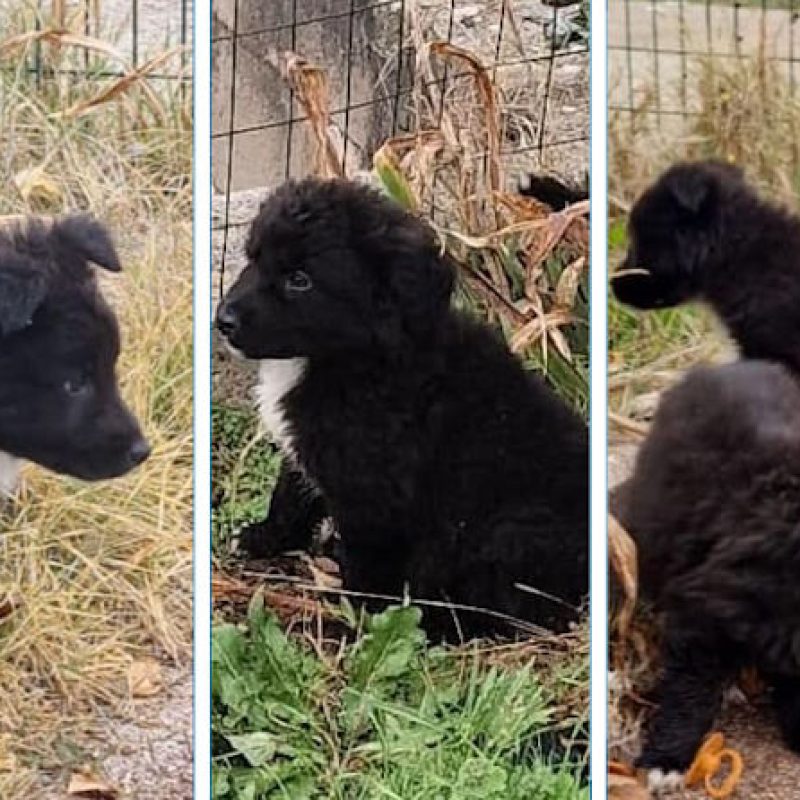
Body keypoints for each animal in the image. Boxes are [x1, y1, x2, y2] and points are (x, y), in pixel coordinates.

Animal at [217, 178, 588, 640]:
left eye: (299, 279)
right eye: (253, 258)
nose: (222, 321)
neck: (349, 358)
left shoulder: (370, 491)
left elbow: (368, 566)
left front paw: (361, 622)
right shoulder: (312, 450)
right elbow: (289, 494)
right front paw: (265, 538)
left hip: (509, 534)